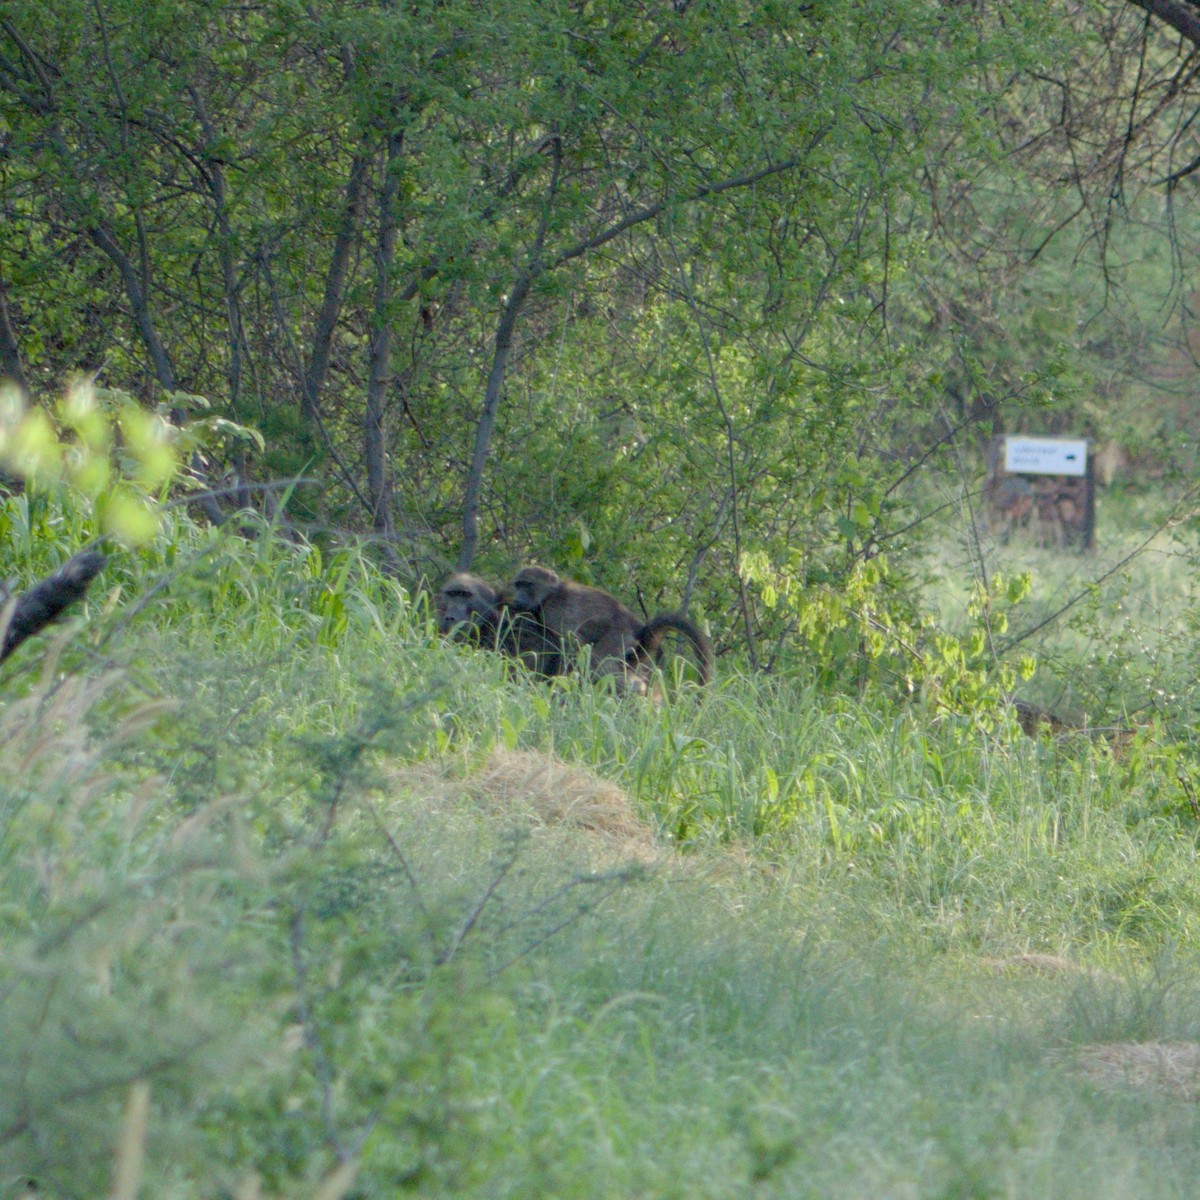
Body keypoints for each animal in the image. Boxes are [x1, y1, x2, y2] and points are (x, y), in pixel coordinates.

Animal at [509, 565, 712, 690]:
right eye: (518, 585)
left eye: (526, 585)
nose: (517, 598)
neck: (550, 594)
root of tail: (636, 626)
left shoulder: (554, 613)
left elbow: (571, 645)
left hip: (617, 636)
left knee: (598, 662)